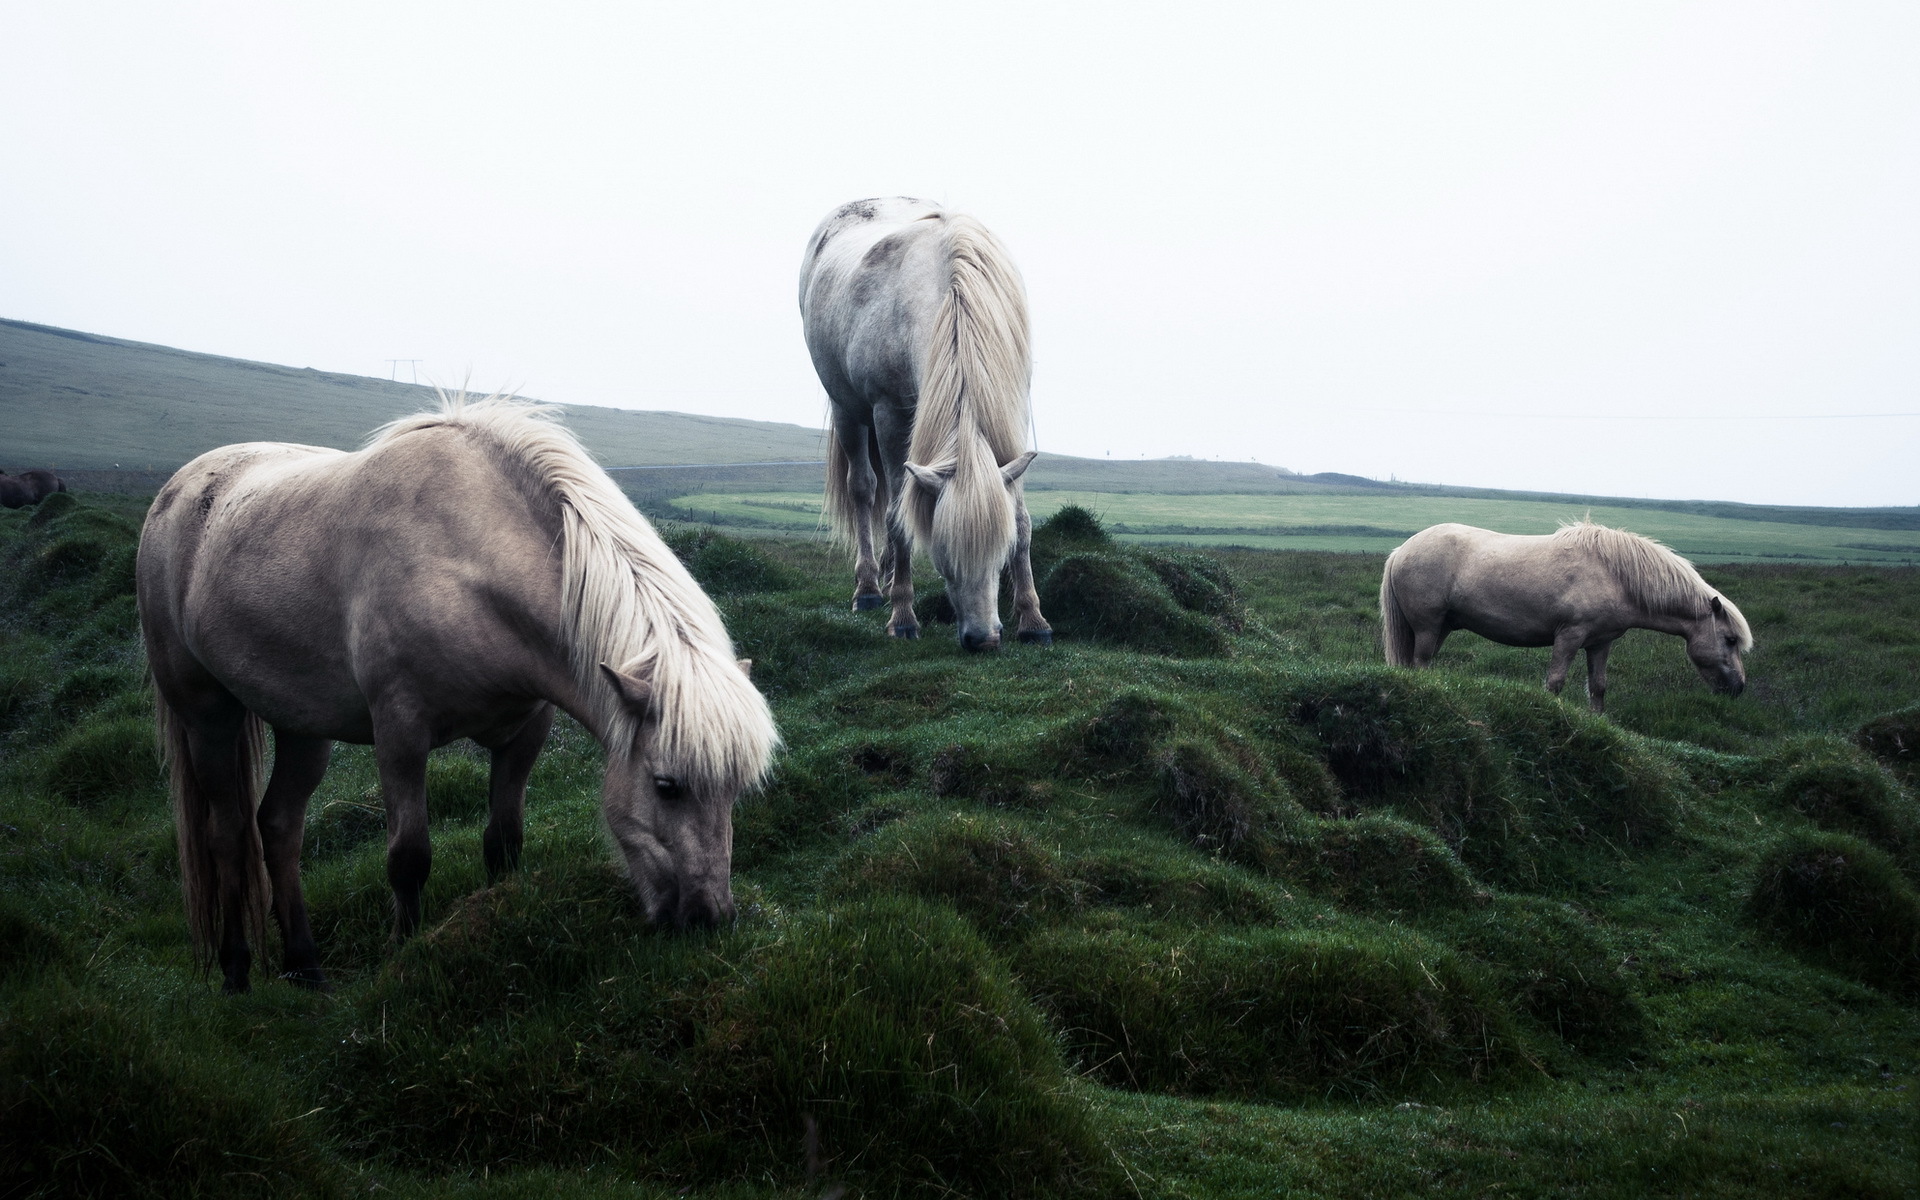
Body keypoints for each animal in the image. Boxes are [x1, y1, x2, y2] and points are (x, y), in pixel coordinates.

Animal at [133, 395, 779, 990]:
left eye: (737, 790)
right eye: (667, 786)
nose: (708, 919)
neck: (463, 562)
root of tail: (176, 490)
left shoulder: (524, 732)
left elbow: (504, 840)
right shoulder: (400, 734)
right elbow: (408, 858)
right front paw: (403, 957)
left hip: (301, 725)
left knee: (279, 827)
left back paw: (306, 968)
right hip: (206, 715)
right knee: (227, 834)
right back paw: (237, 972)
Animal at [802, 195, 1059, 648]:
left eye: (999, 554)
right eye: (944, 559)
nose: (982, 639)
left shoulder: (1011, 413)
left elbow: (1021, 519)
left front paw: (1033, 619)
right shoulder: (889, 413)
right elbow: (896, 518)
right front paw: (903, 616)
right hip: (849, 410)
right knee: (865, 489)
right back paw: (870, 588)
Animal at [1382, 518, 1758, 710]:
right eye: (1730, 639)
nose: (1738, 687)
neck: (1615, 575)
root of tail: (1402, 549)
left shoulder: (1600, 643)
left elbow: (1599, 687)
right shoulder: (1569, 636)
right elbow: (1555, 682)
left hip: (1441, 627)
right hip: (1428, 627)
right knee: (1421, 663)